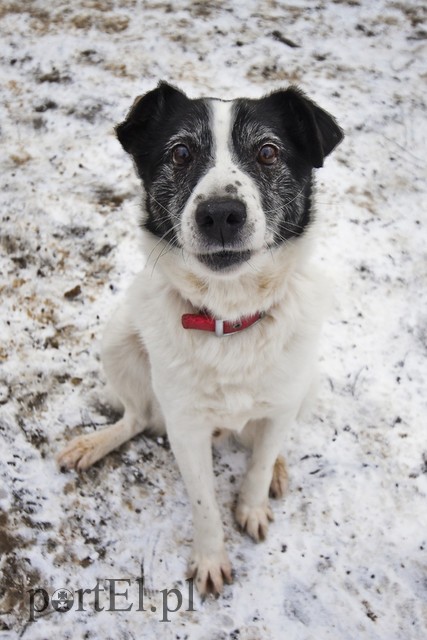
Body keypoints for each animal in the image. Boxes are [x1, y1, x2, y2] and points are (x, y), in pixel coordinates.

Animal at [57, 80, 344, 596]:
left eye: (268, 151)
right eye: (181, 152)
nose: (222, 214)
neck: (229, 318)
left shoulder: (282, 402)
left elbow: (258, 463)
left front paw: (253, 503)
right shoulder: (186, 427)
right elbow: (203, 504)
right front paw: (211, 559)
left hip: (307, 382)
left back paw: (278, 467)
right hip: (119, 339)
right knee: (136, 417)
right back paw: (94, 443)